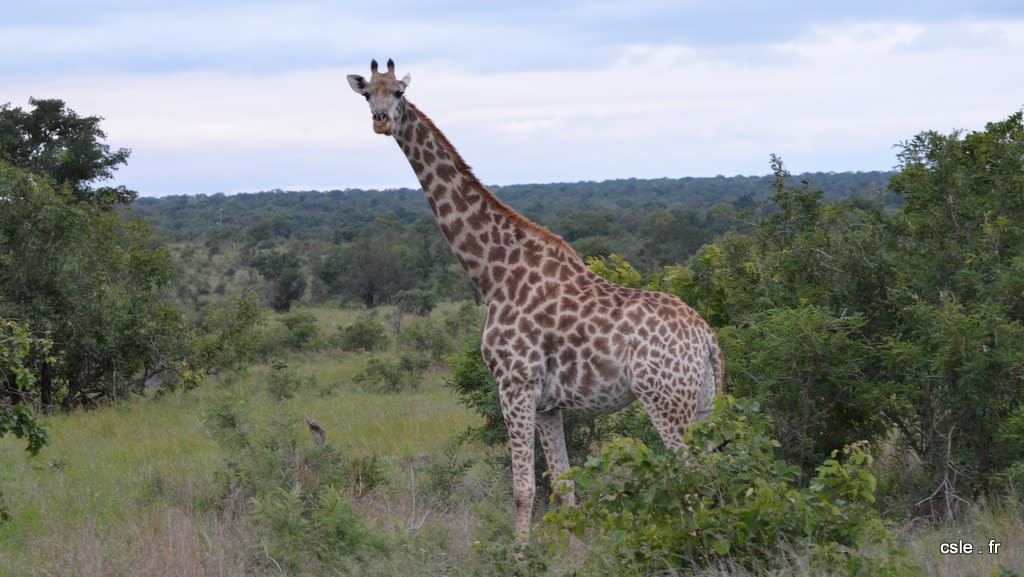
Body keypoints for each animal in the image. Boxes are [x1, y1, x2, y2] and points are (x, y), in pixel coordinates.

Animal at [344, 60, 720, 545]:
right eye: (367, 93)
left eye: (400, 93)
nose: (381, 122)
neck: (494, 274)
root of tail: (706, 336)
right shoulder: (548, 405)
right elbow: (564, 488)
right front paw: (574, 551)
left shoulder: (514, 385)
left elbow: (523, 490)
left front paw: (518, 554)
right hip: (703, 402)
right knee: (713, 476)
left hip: (665, 399)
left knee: (690, 480)